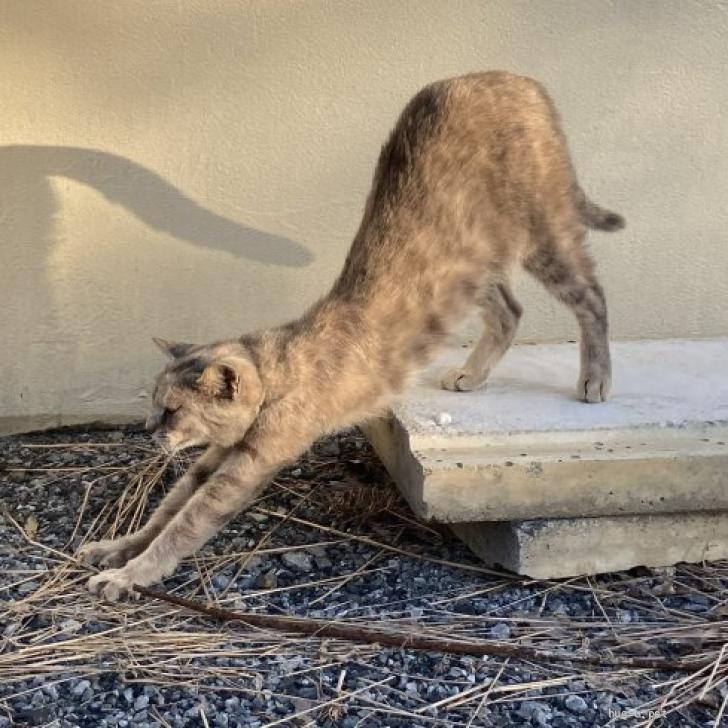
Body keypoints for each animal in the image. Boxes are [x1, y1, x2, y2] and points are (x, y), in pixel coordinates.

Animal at [81, 71, 624, 600]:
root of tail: (511, 76)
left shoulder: (248, 465)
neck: (280, 366)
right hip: (468, 267)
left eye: (172, 409)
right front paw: (117, 548)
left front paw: (130, 574)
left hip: (543, 232)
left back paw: (595, 380)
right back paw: (471, 374)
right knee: (511, 308)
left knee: (592, 296)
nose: (146, 430)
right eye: (154, 403)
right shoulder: (217, 456)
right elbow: (166, 508)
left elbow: (185, 524)